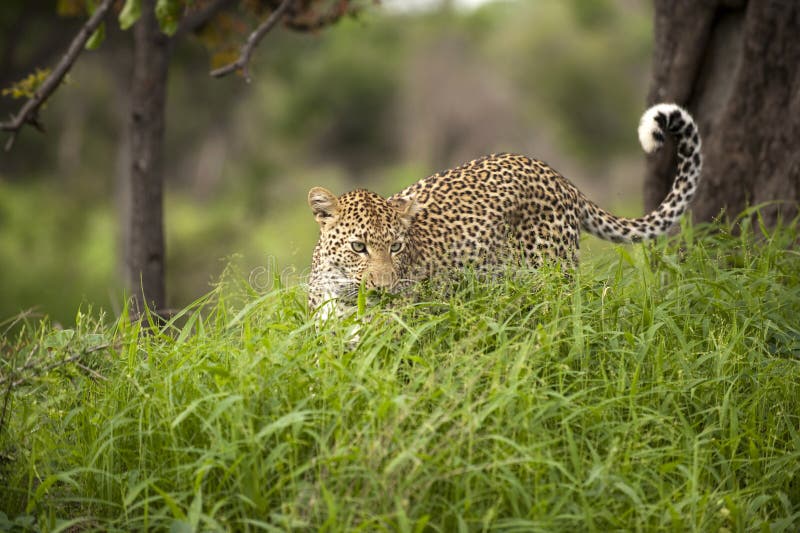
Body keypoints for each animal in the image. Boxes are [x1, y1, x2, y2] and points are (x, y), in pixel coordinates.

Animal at [306, 105, 700, 320]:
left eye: (396, 247)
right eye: (359, 247)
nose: (385, 288)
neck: (340, 293)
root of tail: (556, 175)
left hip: (553, 273)